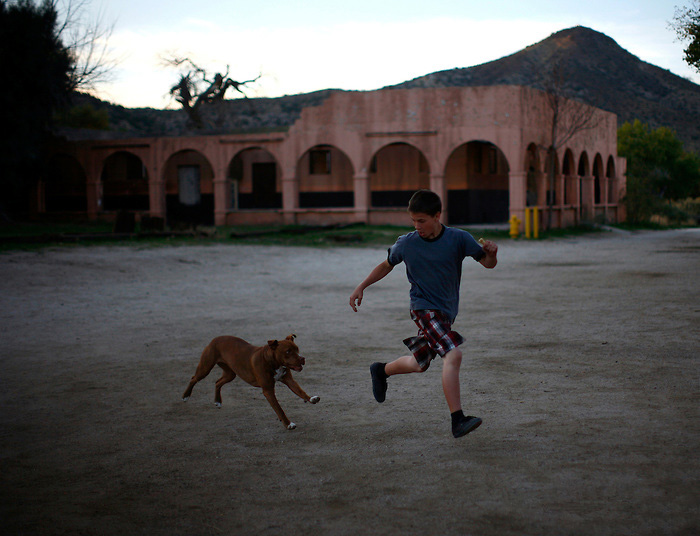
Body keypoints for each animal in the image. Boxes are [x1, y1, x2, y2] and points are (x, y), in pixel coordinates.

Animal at [182, 332, 322, 430]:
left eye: (297, 349)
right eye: (288, 351)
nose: (302, 358)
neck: (272, 361)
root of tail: (215, 338)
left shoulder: (289, 380)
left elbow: (300, 391)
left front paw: (311, 399)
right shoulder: (268, 390)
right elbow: (279, 409)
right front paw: (288, 424)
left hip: (230, 374)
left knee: (218, 382)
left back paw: (218, 401)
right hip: (205, 367)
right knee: (194, 378)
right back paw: (185, 396)